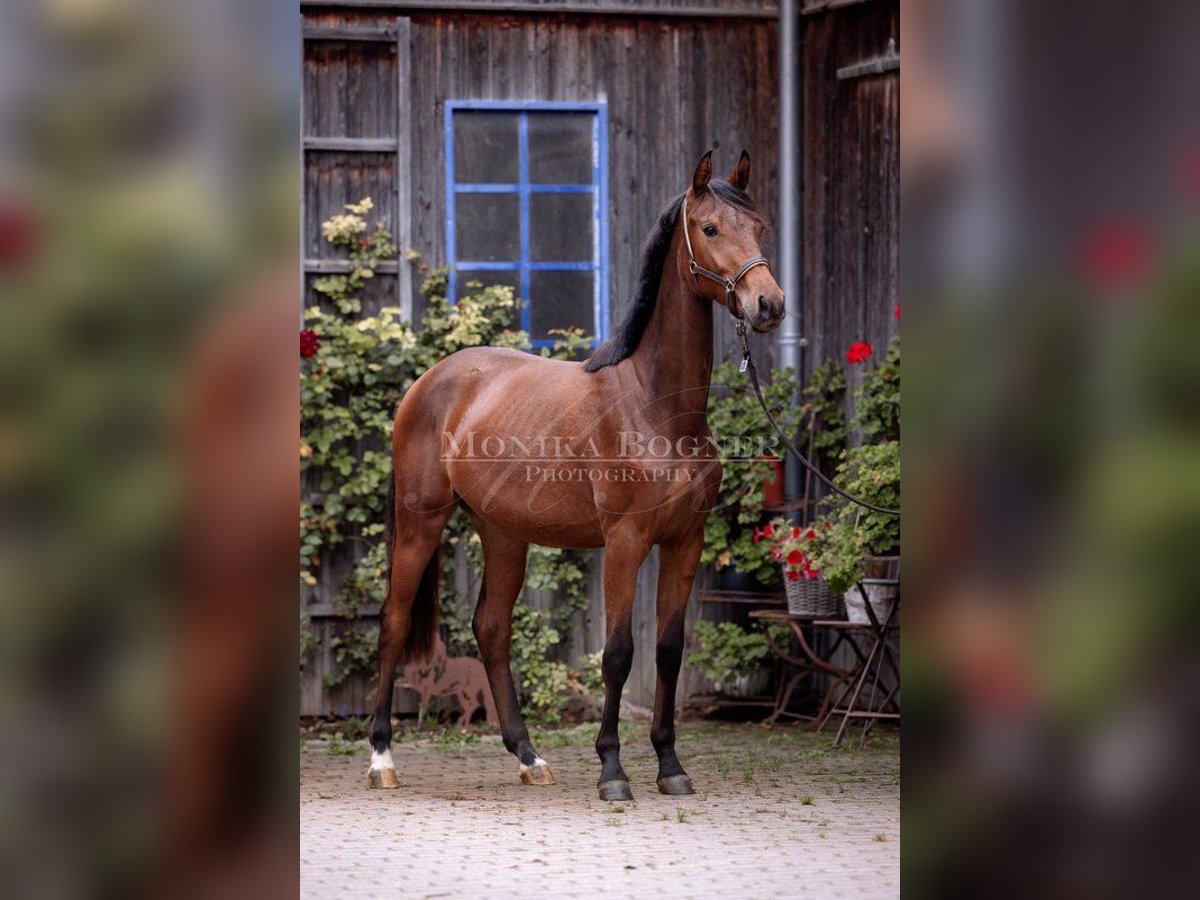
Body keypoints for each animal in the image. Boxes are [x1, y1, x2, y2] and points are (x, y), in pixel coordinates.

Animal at [374, 150, 787, 801]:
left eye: (761, 226)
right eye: (711, 228)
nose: (768, 305)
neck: (655, 406)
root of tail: (428, 383)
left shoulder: (684, 543)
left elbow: (668, 651)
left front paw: (670, 765)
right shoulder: (624, 542)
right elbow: (617, 653)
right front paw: (612, 771)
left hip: (503, 534)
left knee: (491, 628)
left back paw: (528, 757)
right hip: (421, 522)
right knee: (393, 623)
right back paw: (382, 759)